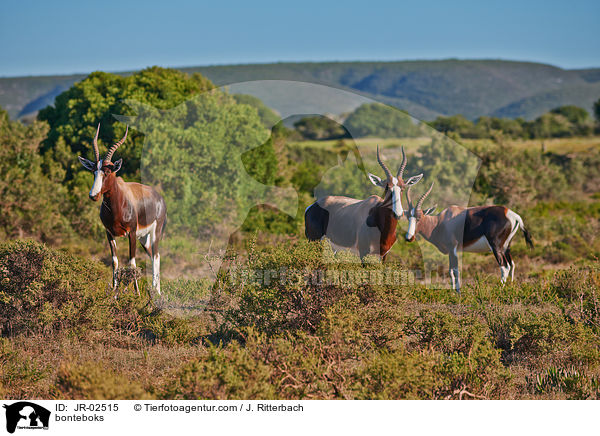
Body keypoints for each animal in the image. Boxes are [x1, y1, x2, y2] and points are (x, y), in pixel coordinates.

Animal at [78, 124, 166, 298]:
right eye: (94, 171)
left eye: (107, 172)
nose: (93, 195)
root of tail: (160, 198)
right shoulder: (109, 233)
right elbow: (115, 261)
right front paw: (115, 294)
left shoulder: (131, 233)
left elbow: (132, 262)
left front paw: (137, 295)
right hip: (143, 238)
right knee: (153, 256)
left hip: (155, 232)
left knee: (156, 256)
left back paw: (157, 292)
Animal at [404, 182, 536, 292]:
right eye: (408, 217)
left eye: (419, 217)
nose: (409, 237)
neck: (440, 221)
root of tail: (511, 214)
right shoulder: (452, 251)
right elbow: (451, 270)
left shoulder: (453, 249)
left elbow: (455, 270)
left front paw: (456, 291)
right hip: (506, 247)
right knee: (512, 264)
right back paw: (510, 287)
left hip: (496, 247)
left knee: (504, 267)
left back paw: (500, 289)